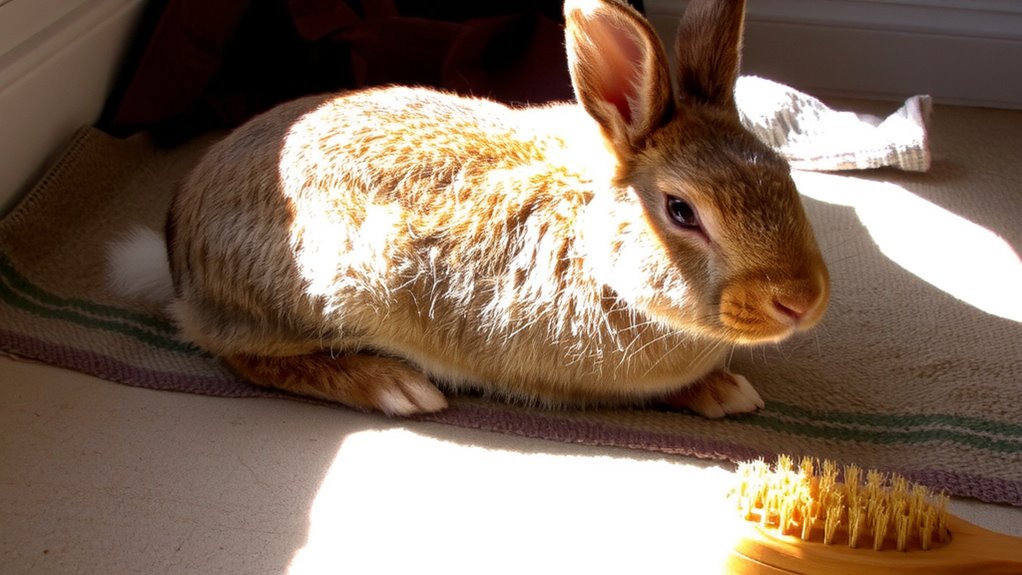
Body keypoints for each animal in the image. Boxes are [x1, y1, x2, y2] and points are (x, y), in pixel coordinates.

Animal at [108, 0, 829, 418]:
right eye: (681, 211)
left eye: (783, 171)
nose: (801, 301)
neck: (598, 253)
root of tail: (176, 244)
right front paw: (725, 391)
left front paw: (726, 389)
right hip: (315, 291)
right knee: (239, 355)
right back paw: (394, 387)